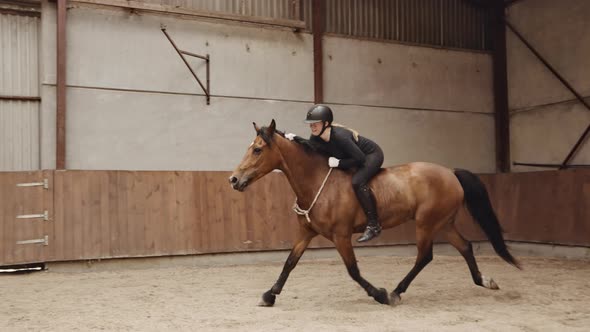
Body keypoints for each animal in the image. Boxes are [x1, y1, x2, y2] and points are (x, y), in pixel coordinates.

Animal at [231, 119, 524, 306]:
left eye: (257, 149)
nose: (233, 180)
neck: (316, 181)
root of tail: (451, 172)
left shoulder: (341, 236)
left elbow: (353, 271)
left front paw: (379, 294)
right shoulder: (307, 233)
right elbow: (289, 262)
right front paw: (269, 295)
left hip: (426, 223)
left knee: (425, 256)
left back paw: (395, 292)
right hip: (444, 223)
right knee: (465, 247)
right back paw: (484, 281)